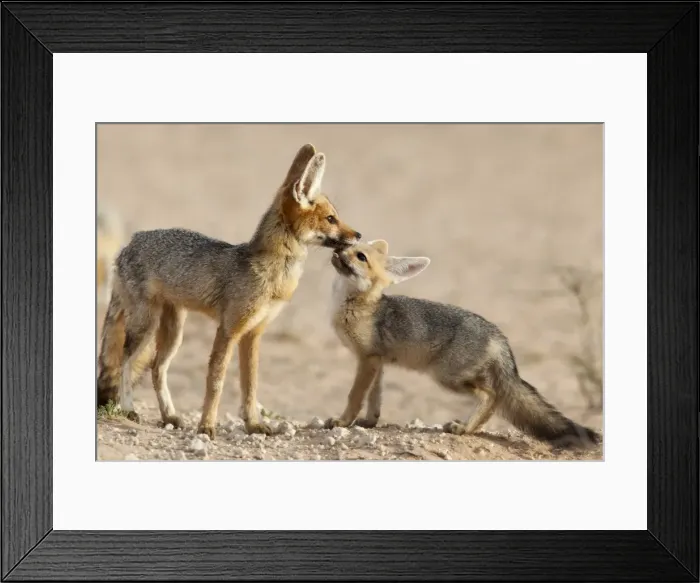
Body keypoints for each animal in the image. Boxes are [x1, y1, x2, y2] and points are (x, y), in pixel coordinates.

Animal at [96, 144, 361, 437]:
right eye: (331, 219)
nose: (358, 235)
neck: (272, 273)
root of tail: (129, 242)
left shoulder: (253, 334)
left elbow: (250, 384)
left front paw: (253, 423)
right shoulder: (229, 329)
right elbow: (216, 381)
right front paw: (206, 426)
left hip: (174, 333)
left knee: (156, 368)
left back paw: (170, 416)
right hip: (145, 326)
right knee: (125, 361)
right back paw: (129, 408)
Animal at [326, 239, 601, 448]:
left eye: (360, 256)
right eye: (348, 246)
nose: (337, 249)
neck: (354, 305)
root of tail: (498, 334)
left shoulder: (367, 360)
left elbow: (355, 396)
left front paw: (343, 422)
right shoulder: (378, 361)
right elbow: (374, 398)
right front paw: (368, 422)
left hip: (447, 377)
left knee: (491, 396)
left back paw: (464, 428)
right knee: (495, 399)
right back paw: (470, 428)